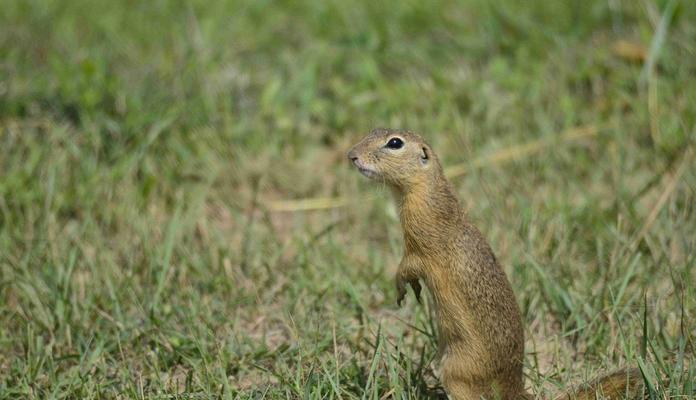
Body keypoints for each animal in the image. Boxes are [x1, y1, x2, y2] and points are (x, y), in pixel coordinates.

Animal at [346, 128, 640, 400]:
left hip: (456, 373)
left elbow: (407, 266)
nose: (351, 155)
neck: (431, 194)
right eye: (373, 131)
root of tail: (514, 388)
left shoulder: (420, 246)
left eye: (395, 143)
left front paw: (401, 288)